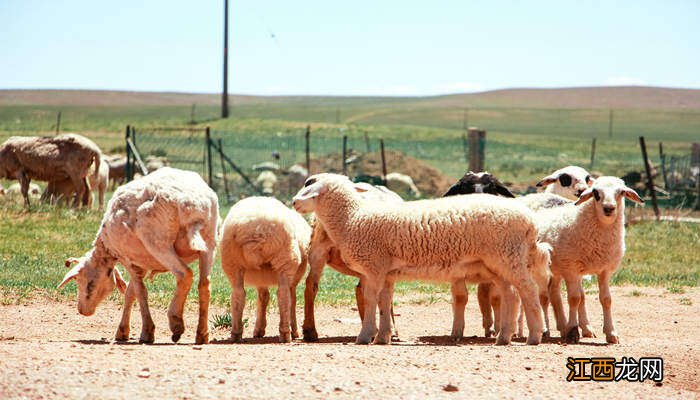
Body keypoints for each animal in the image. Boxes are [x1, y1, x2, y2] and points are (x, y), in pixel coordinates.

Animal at [57, 167, 219, 346]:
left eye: (87, 283)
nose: (82, 311)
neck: (106, 248)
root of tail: (192, 203)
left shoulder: (128, 259)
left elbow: (140, 292)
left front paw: (147, 332)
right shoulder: (140, 263)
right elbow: (130, 292)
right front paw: (122, 331)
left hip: (158, 242)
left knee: (185, 274)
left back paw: (176, 323)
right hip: (209, 241)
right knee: (205, 284)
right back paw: (202, 334)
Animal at [221, 195, 312, 342]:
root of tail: (258, 231)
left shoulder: (261, 277)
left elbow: (263, 297)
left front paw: (259, 329)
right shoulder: (293, 279)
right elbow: (292, 300)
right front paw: (295, 330)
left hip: (232, 262)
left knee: (238, 294)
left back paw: (235, 333)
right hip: (286, 259)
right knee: (284, 295)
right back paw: (285, 333)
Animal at [540, 177, 644, 344]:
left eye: (621, 192)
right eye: (595, 193)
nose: (609, 208)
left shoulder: (605, 270)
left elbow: (606, 299)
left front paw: (611, 333)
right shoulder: (571, 269)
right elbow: (574, 299)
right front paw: (573, 331)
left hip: (555, 270)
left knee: (554, 293)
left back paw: (563, 327)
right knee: (543, 298)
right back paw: (545, 329)